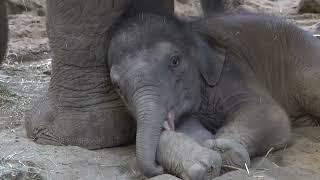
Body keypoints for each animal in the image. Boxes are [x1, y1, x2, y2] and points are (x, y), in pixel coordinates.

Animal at [107, 12, 320, 179]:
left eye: (175, 61)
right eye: (117, 86)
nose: (158, 168)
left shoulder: (232, 69)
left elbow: (269, 113)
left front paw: (224, 151)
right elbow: (187, 128)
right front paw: (204, 160)